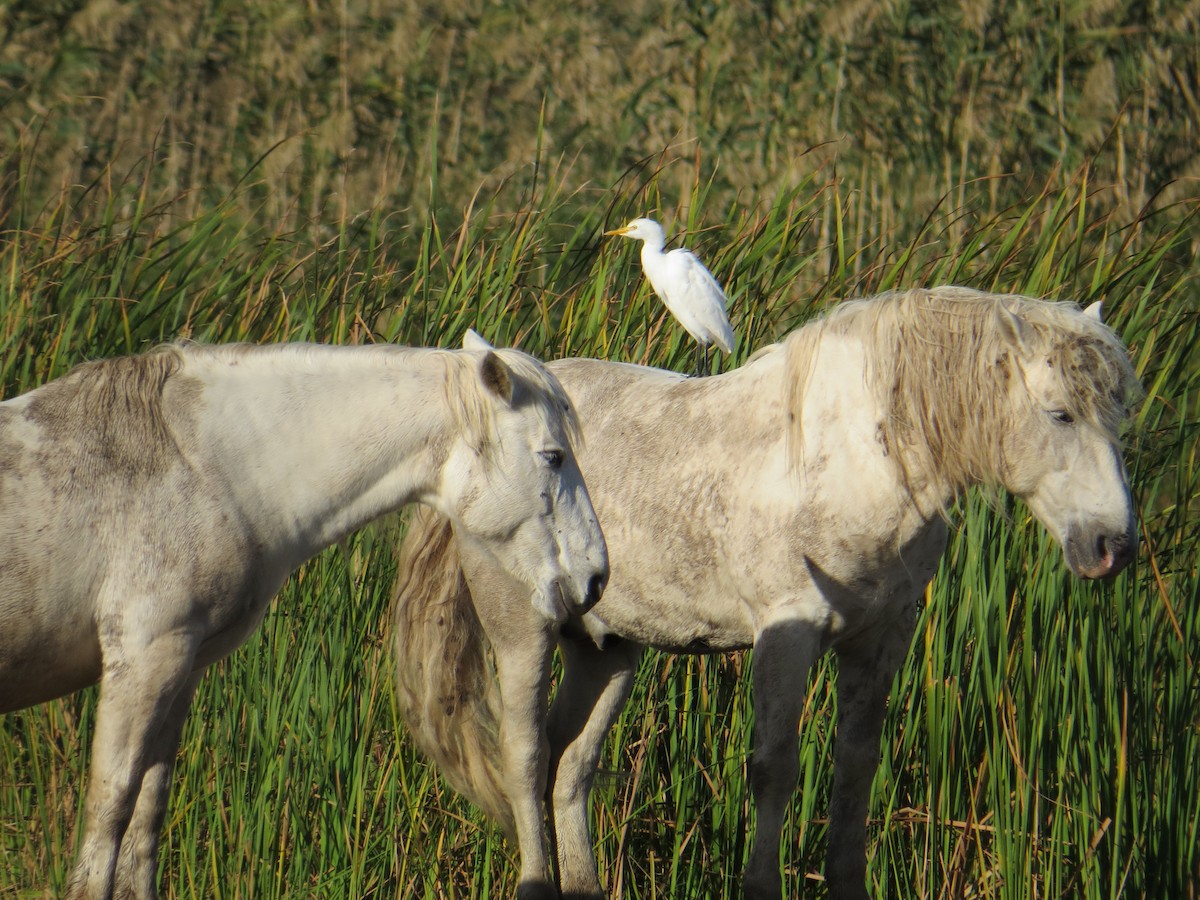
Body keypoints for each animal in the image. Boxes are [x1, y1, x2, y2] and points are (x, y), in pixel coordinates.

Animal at [0, 336, 604, 900]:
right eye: (553, 456)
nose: (596, 576)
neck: (202, 464)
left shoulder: (179, 670)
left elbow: (144, 822)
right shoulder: (144, 658)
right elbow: (110, 813)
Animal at [393, 289, 1142, 900]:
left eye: (1116, 417)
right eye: (1059, 414)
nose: (1114, 545)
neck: (858, 461)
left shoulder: (880, 639)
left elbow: (855, 768)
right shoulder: (789, 635)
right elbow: (775, 769)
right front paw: (760, 886)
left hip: (607, 650)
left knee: (570, 763)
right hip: (524, 631)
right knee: (526, 757)